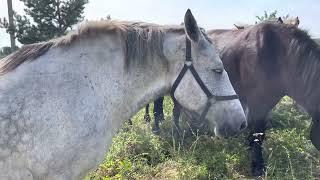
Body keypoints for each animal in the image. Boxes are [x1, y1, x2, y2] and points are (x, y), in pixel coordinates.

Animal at [146, 22, 320, 176]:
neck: (277, 55)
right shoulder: (257, 102)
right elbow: (256, 131)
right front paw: (257, 166)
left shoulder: (267, 103)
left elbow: (258, 132)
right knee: (162, 105)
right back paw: (160, 128)